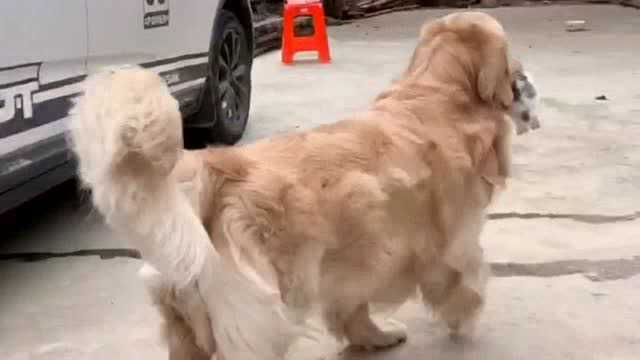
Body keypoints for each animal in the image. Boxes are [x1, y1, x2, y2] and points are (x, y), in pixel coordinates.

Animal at [70, 11, 528, 360]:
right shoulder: (454, 237)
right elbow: (465, 279)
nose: (523, 80)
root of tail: (214, 169)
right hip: (258, 320)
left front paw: (374, 337)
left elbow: (352, 306)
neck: (435, 94)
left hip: (185, 322)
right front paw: (465, 317)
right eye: (510, 59)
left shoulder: (356, 260)